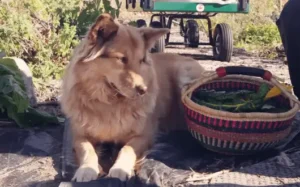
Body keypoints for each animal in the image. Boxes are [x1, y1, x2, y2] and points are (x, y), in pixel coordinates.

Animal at [61, 13, 206, 183]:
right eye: (122, 59)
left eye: (141, 60)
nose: (144, 90)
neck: (110, 102)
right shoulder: (79, 135)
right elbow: (86, 149)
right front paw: (87, 169)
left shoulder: (143, 135)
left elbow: (127, 149)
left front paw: (120, 169)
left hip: (184, 77)